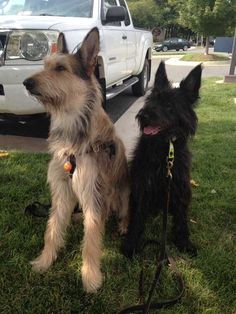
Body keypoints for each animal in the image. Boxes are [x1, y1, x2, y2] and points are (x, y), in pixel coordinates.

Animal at [122, 62, 202, 258]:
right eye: (152, 100)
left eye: (169, 105)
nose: (143, 115)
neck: (165, 148)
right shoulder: (143, 185)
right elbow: (138, 216)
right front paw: (132, 243)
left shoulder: (179, 186)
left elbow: (181, 217)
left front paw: (183, 242)